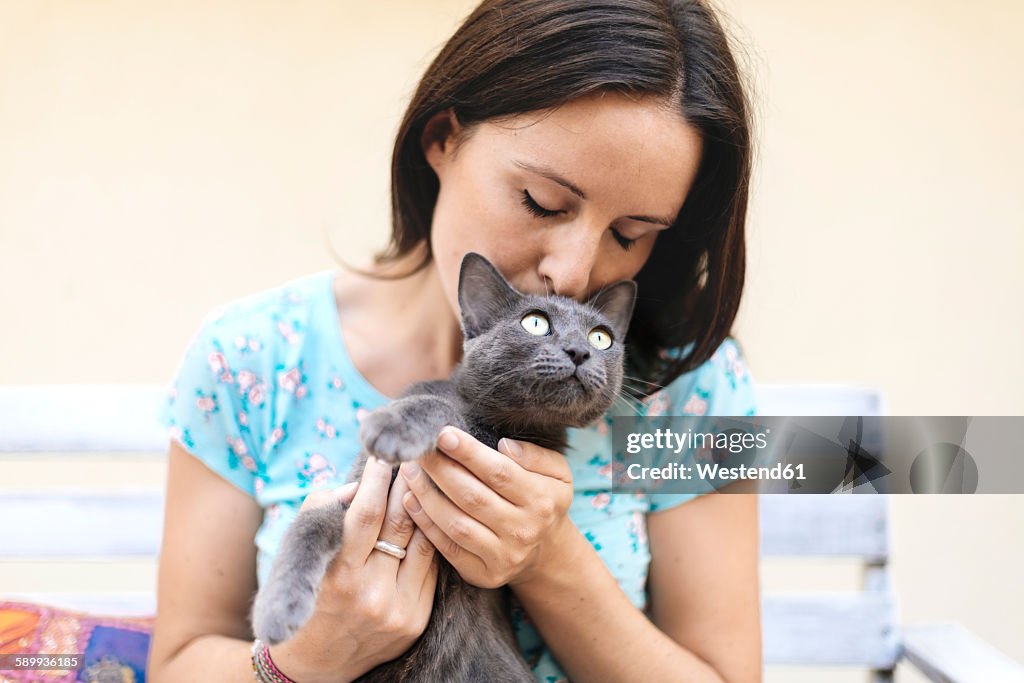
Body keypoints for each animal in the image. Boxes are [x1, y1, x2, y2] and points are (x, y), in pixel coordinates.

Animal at [251, 253, 634, 679]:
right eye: (535, 323)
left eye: (601, 337)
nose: (579, 351)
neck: (503, 427)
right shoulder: (357, 490)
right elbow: (311, 525)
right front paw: (277, 611)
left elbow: (445, 412)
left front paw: (394, 426)